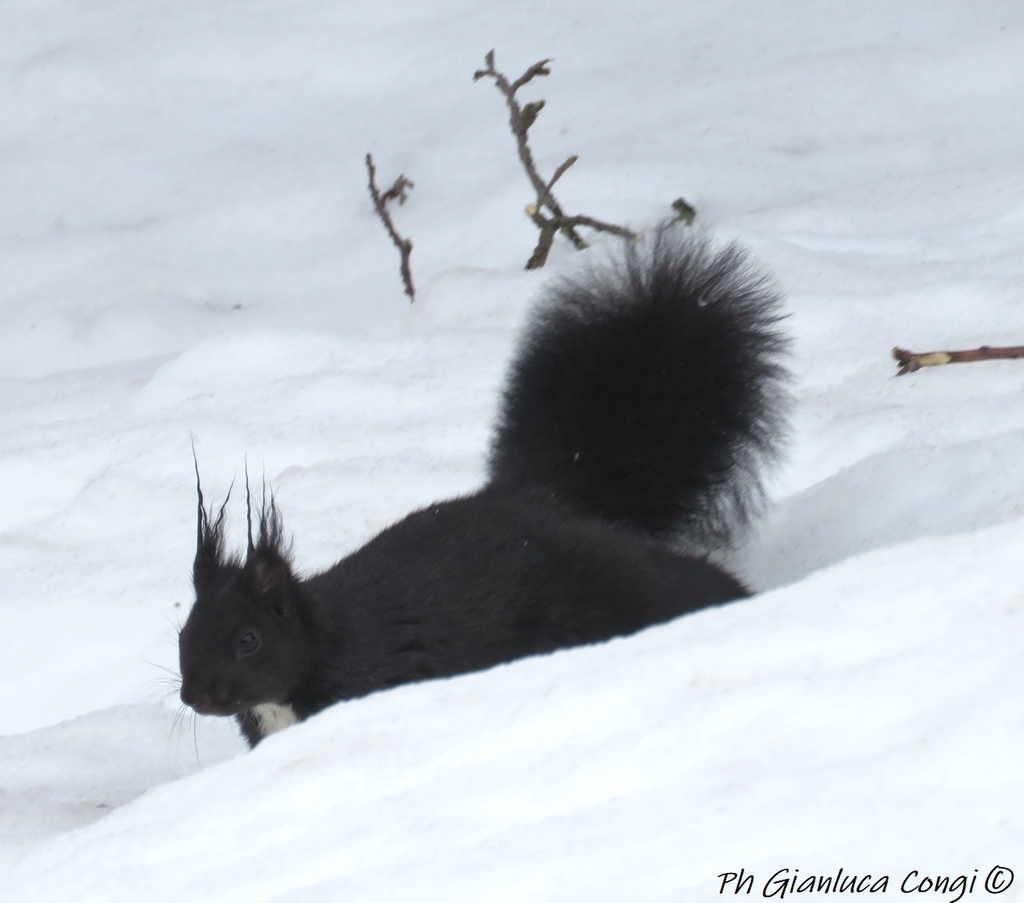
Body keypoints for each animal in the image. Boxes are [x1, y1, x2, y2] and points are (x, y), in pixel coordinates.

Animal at [178, 227, 782, 745]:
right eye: (183, 633)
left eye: (248, 640)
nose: (195, 696)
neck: (323, 646)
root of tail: (547, 497)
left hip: (602, 585)